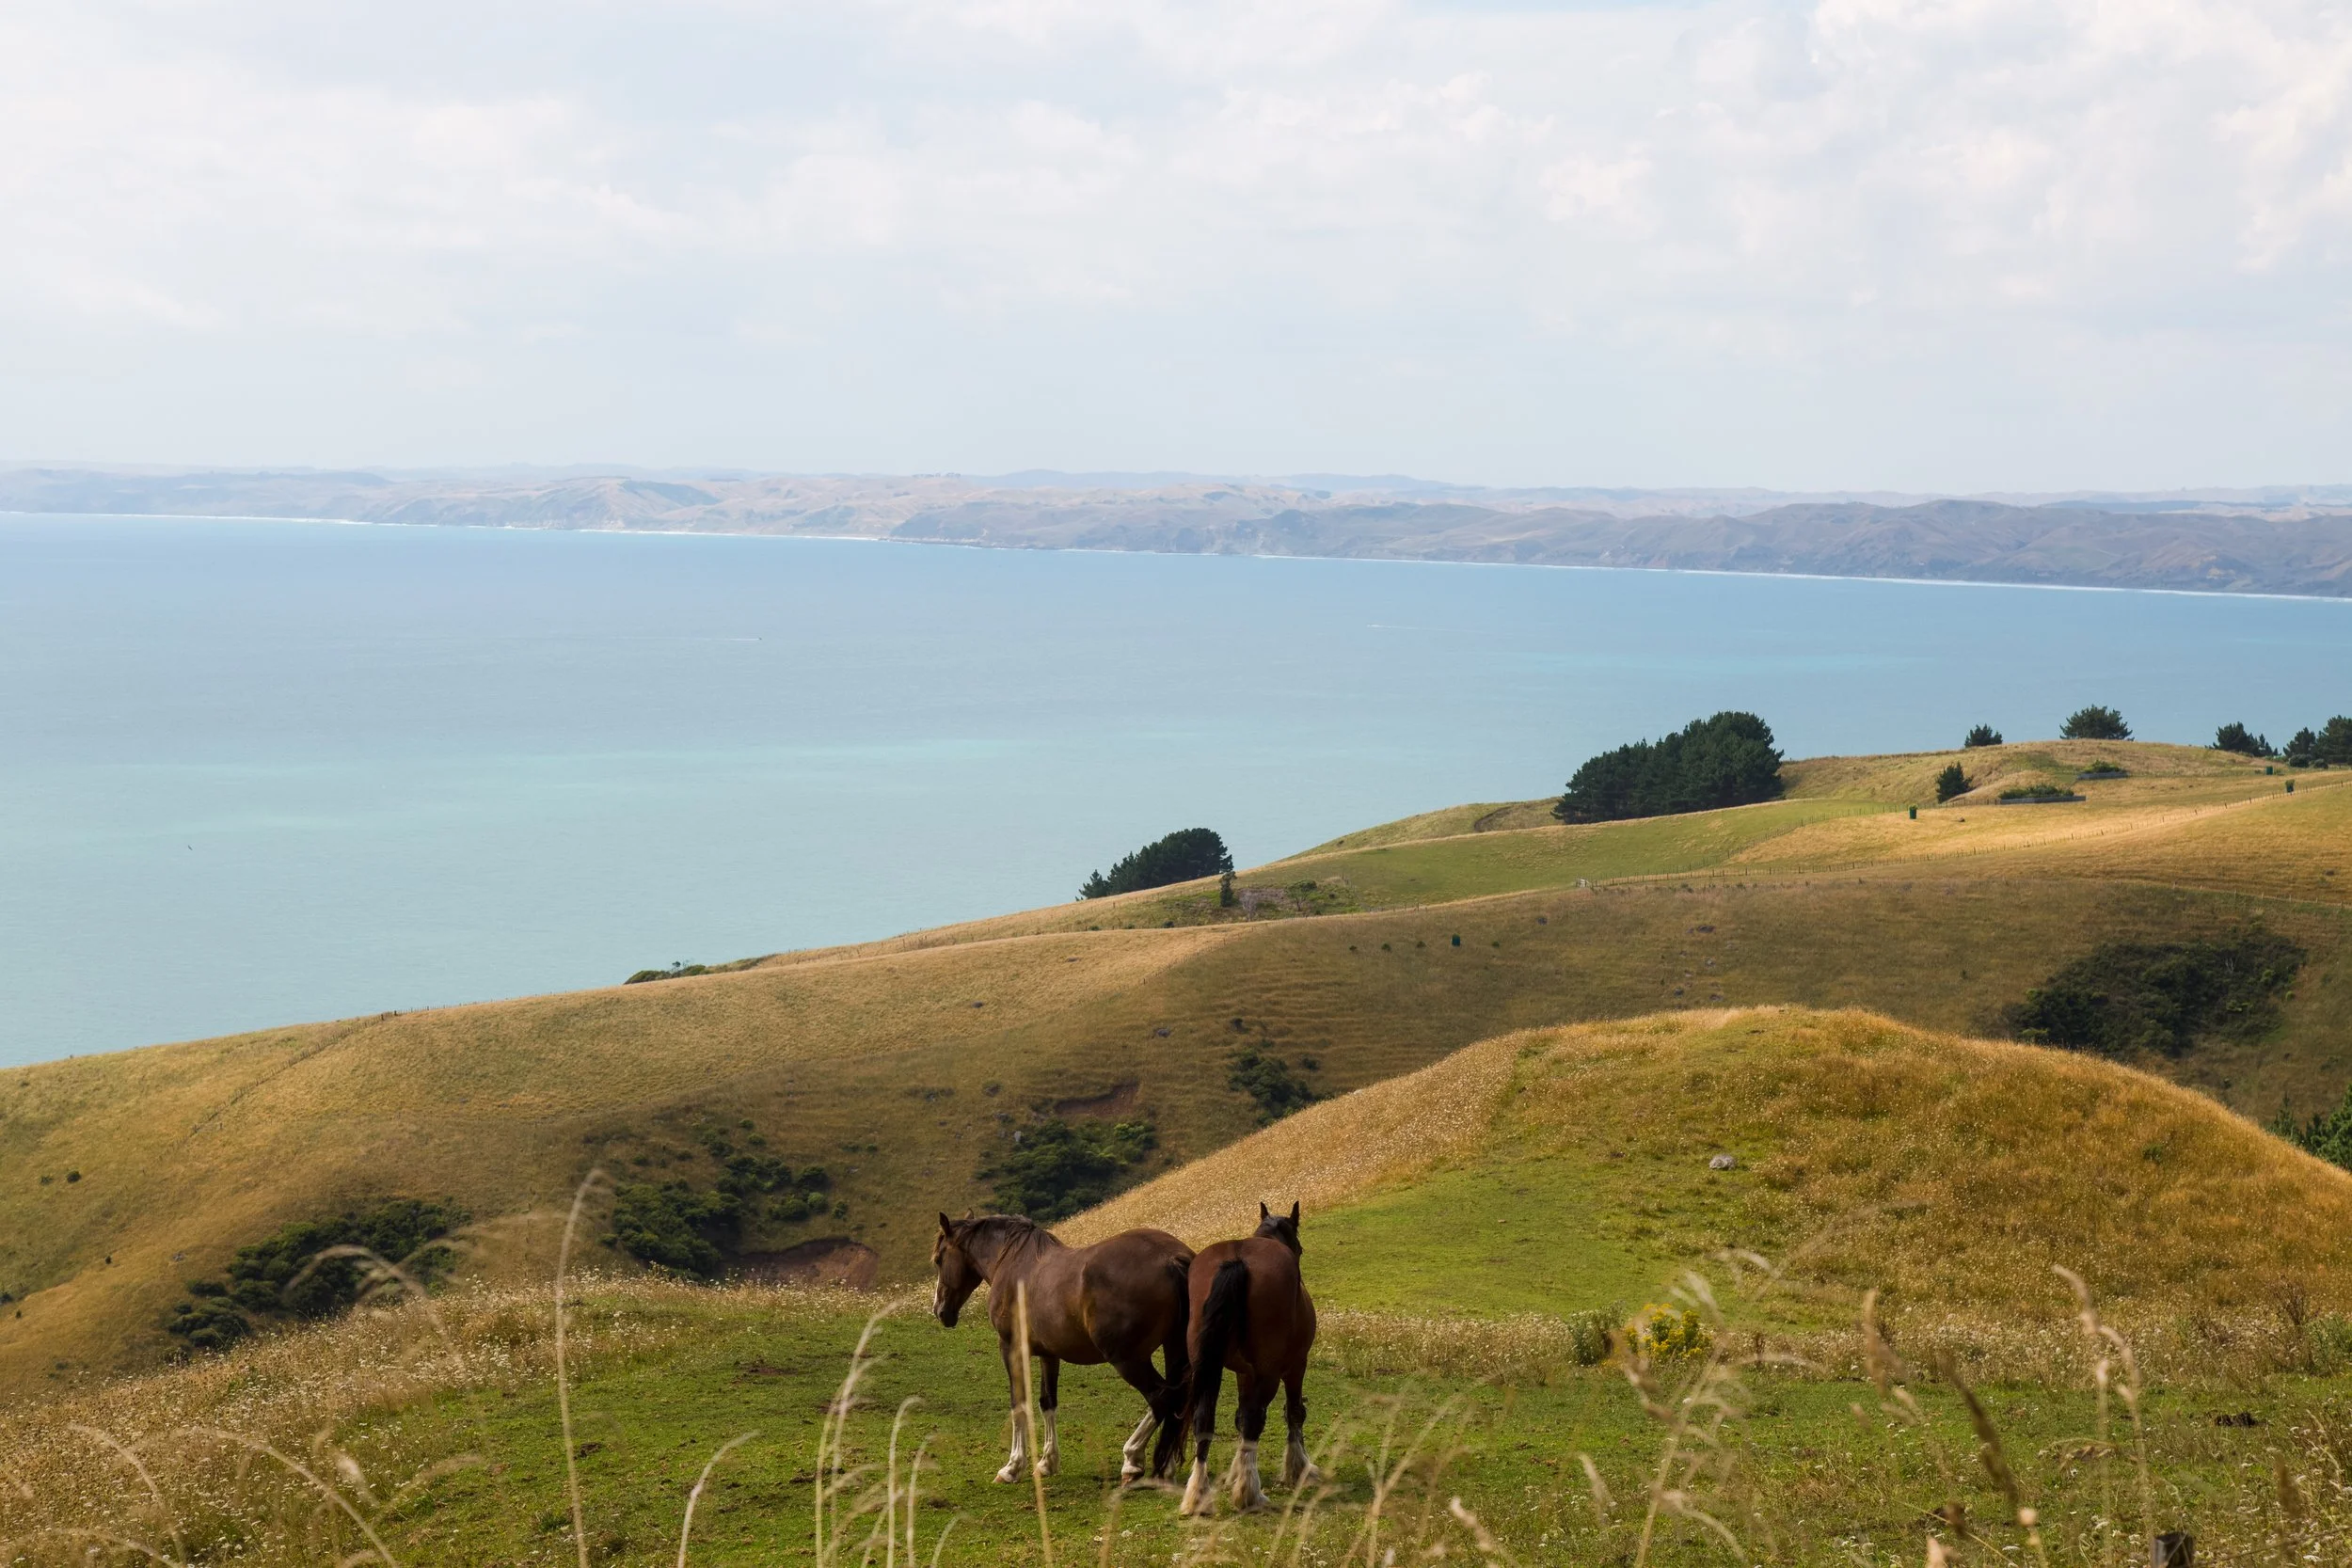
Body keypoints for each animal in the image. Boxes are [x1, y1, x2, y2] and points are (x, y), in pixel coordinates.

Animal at [932, 1212, 1195, 1484]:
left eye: (938, 1260)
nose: (939, 1311)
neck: (1013, 1263)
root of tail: (1171, 1259)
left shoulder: (1011, 1348)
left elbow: (1019, 1403)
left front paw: (1012, 1467)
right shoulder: (1049, 1355)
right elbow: (1047, 1402)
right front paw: (1047, 1463)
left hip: (1128, 1359)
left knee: (1162, 1398)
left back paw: (1133, 1460)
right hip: (1172, 1348)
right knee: (1182, 1399)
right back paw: (1169, 1468)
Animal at [1177, 1200, 1320, 1515]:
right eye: (1300, 1248)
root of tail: (1236, 1260)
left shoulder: (1244, 1372)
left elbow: (1240, 1417)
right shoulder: (1295, 1366)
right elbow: (1294, 1412)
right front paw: (1298, 1468)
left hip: (1209, 1366)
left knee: (1204, 1420)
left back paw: (1198, 1494)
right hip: (1269, 1372)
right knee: (1256, 1419)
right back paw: (1249, 1494)